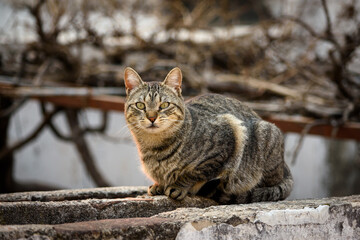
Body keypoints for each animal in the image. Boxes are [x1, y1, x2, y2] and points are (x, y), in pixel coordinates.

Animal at [124, 66, 292, 203]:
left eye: (164, 105)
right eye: (140, 105)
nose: (152, 117)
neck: (155, 147)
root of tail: (285, 167)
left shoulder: (228, 137)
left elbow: (196, 173)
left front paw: (178, 186)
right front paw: (159, 185)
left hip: (265, 134)